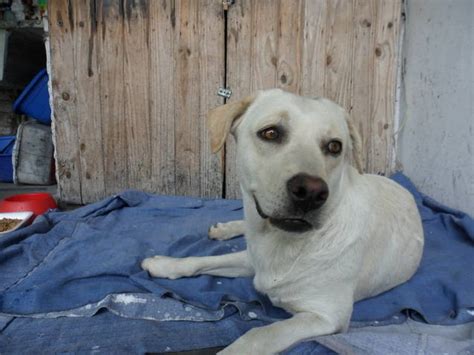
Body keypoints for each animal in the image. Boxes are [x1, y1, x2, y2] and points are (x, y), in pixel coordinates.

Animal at [140, 89, 422, 355]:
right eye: (271, 133)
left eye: (334, 147)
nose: (310, 192)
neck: (283, 242)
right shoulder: (253, 260)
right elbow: (203, 261)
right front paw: (166, 264)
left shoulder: (326, 317)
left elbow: (258, 335)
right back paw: (225, 229)